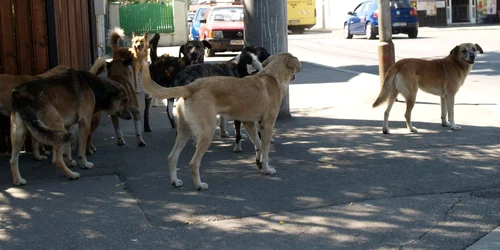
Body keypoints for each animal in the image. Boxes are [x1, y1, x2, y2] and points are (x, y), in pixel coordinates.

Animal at [139, 52, 300, 189]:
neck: (272, 75)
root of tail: (191, 86)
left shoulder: (249, 124)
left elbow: (258, 145)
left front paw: (258, 162)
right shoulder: (267, 125)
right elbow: (265, 149)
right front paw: (266, 168)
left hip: (184, 132)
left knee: (172, 157)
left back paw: (175, 181)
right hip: (207, 132)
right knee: (193, 163)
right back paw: (199, 185)